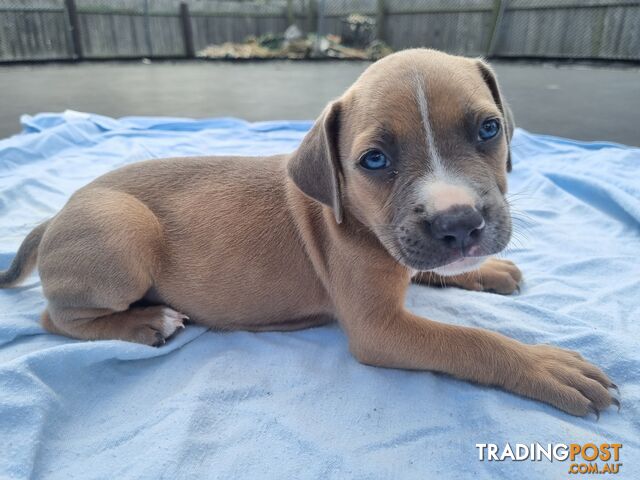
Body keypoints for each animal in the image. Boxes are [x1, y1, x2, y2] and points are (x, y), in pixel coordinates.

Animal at [1, 48, 620, 416]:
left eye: (489, 129)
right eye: (374, 160)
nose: (460, 223)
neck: (358, 217)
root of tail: (55, 217)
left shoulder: (407, 252)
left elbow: (430, 267)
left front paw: (486, 270)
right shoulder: (380, 329)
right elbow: (471, 342)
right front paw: (544, 366)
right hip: (122, 231)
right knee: (54, 319)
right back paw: (146, 322)